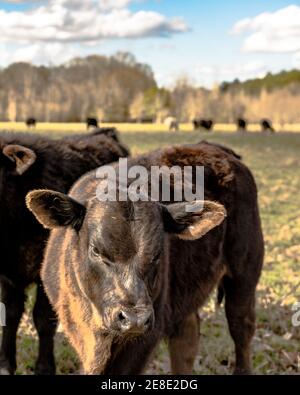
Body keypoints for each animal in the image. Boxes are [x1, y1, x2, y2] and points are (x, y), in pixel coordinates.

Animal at [27, 142, 264, 374]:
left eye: (158, 253)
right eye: (95, 250)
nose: (135, 319)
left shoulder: (145, 338)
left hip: (244, 276)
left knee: (241, 329)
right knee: (186, 340)